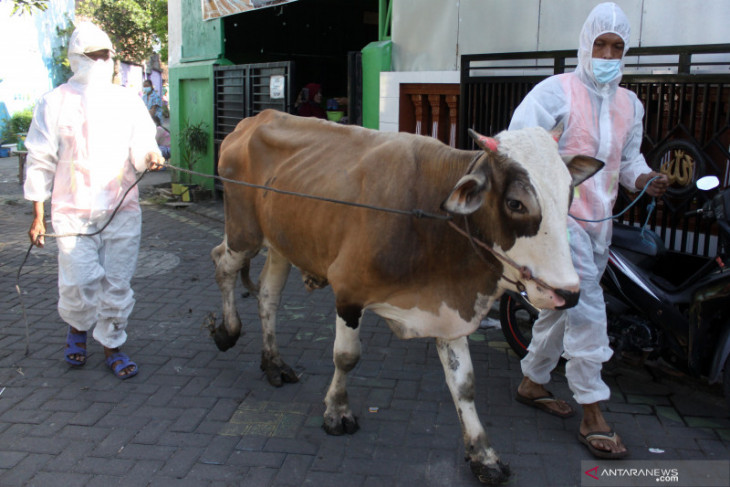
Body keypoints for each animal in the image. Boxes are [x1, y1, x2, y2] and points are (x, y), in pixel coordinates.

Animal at [208, 108, 600, 486]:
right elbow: (346, 357)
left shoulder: (449, 313)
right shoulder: (348, 292)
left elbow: (464, 384)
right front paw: (337, 411)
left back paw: (273, 362)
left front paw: (483, 454)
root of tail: (253, 120)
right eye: (516, 203)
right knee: (222, 262)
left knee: (268, 296)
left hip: (281, 243)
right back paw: (227, 331)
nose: (567, 293)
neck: (433, 219)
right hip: (245, 232)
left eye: (569, 194)